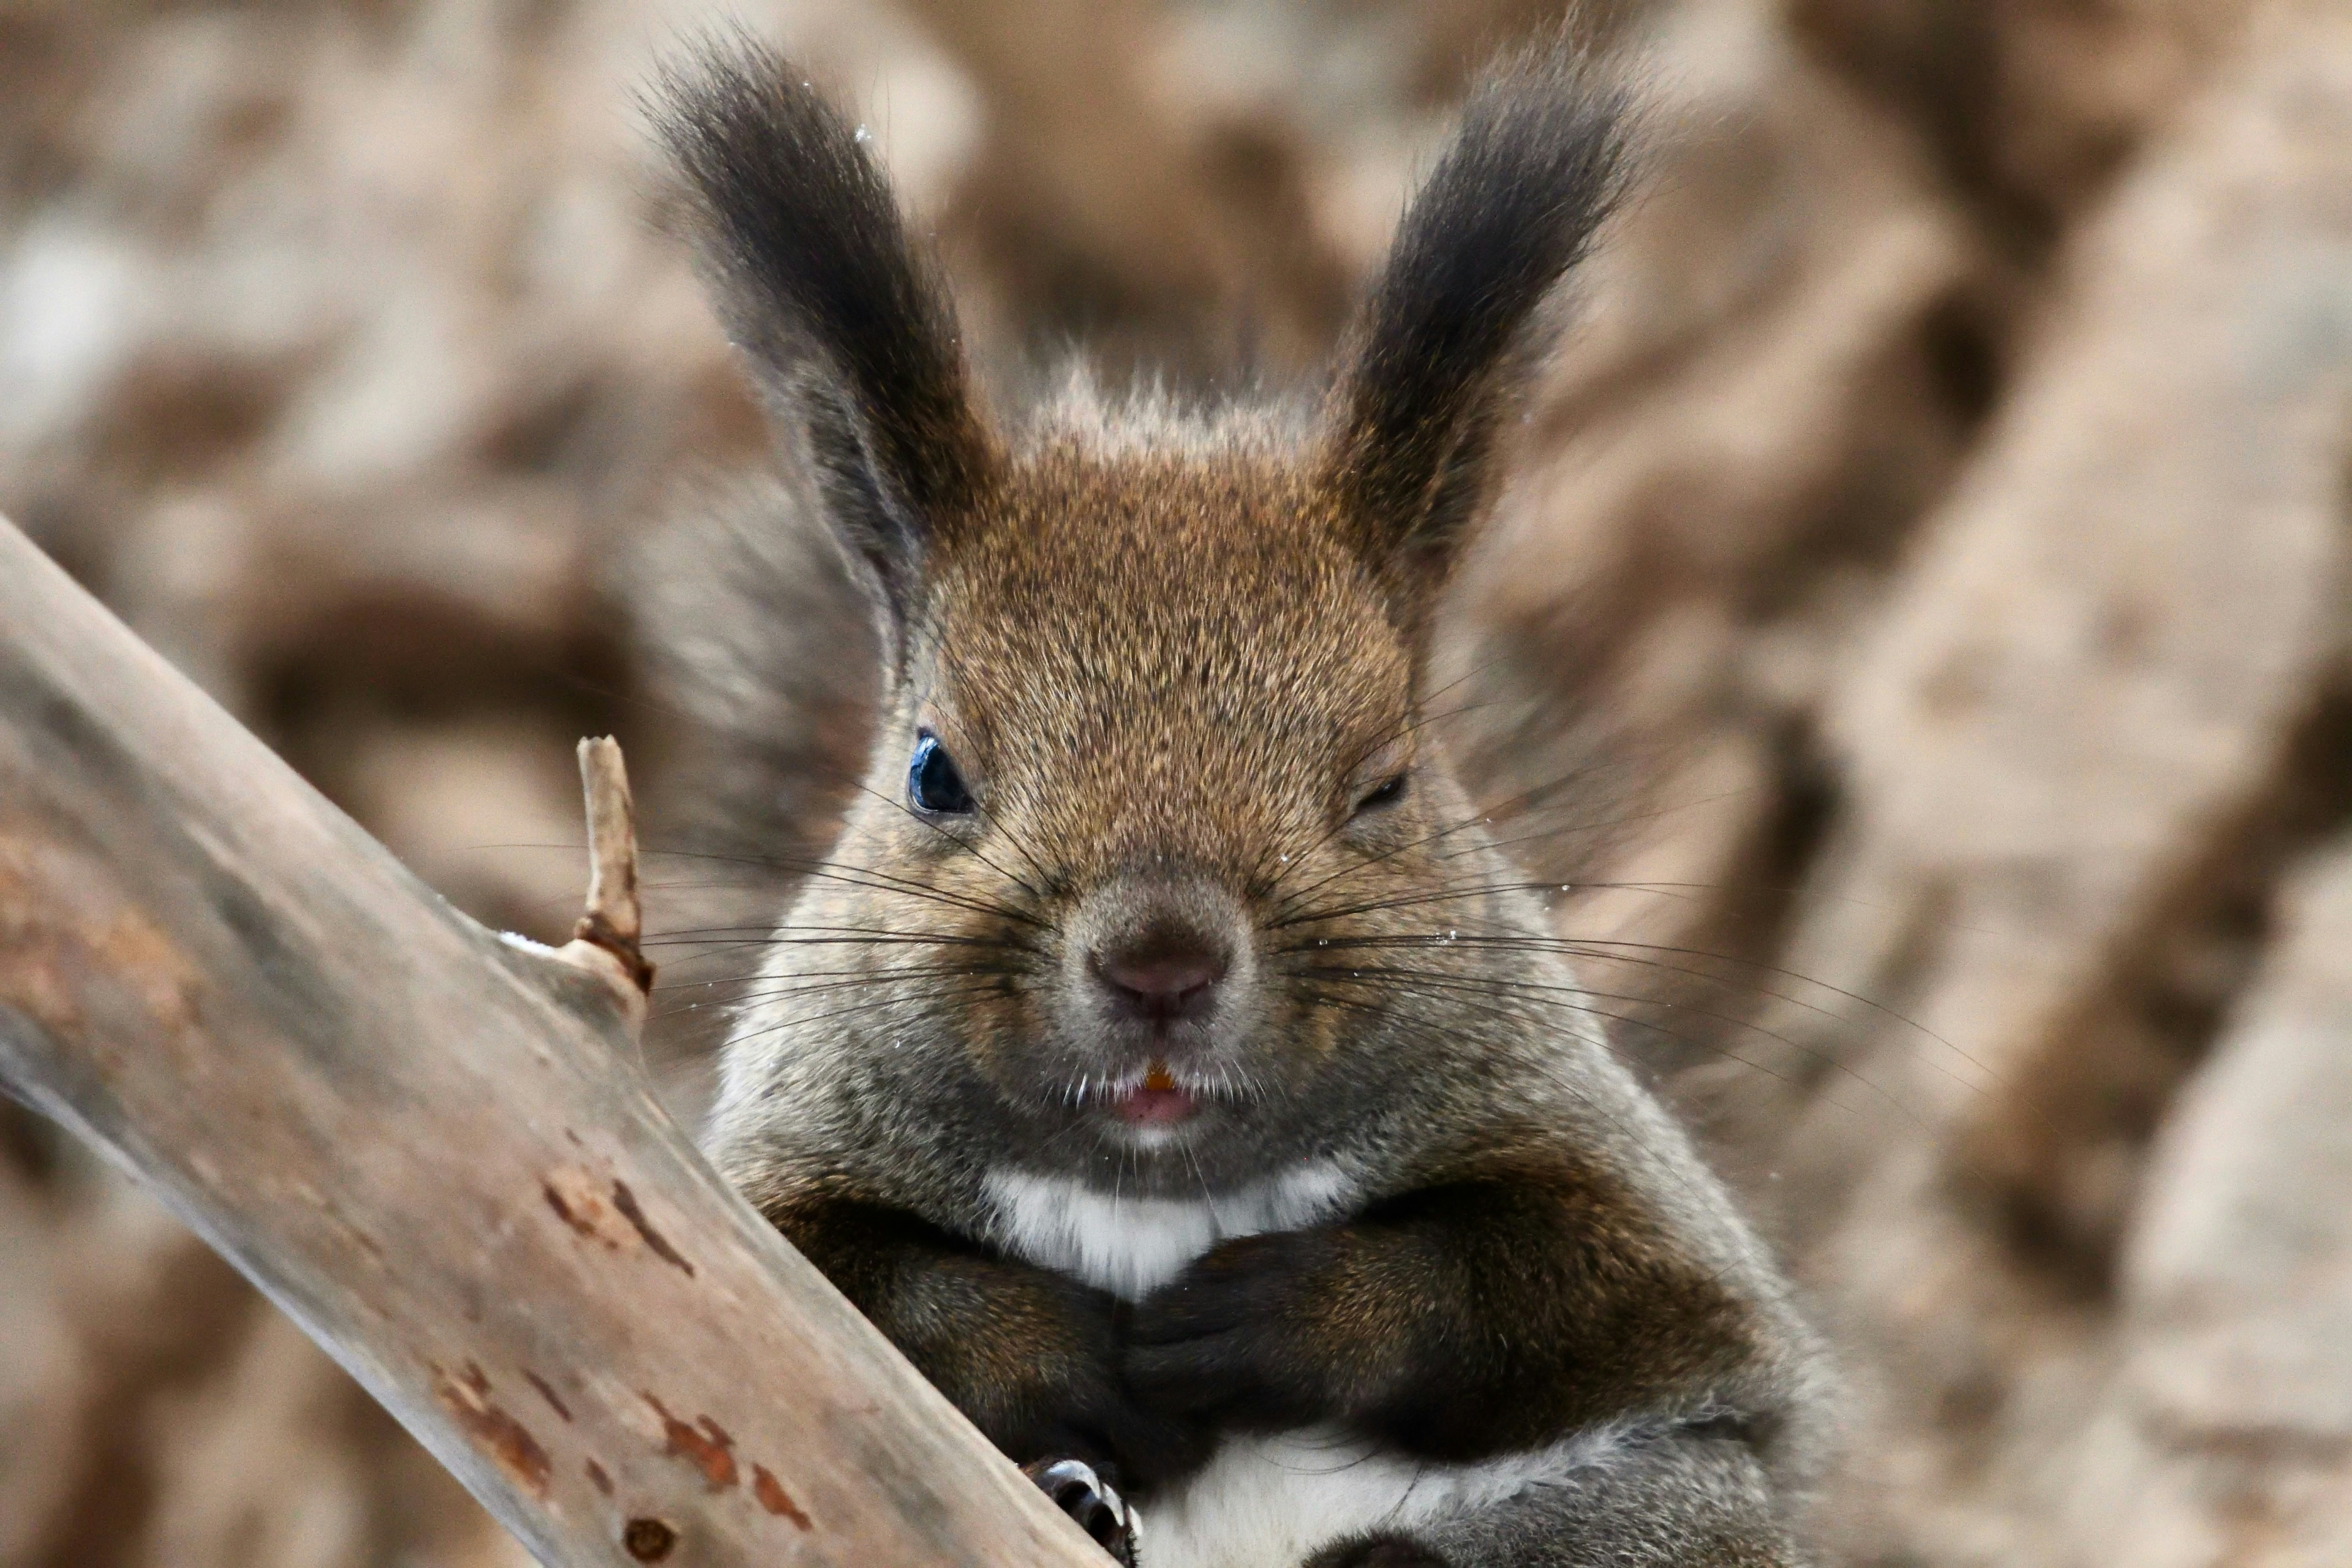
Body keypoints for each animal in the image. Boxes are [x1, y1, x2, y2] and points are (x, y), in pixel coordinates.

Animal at [653, 27, 1825, 1568]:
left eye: (1386, 783)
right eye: (931, 771)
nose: (1161, 964)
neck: (1160, 1184)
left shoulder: (1647, 1223)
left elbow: (1551, 1287)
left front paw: (1281, 1317)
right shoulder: (756, 1195)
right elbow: (866, 1285)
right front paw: (1066, 1355)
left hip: (1682, 1509)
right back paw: (1084, 1505)